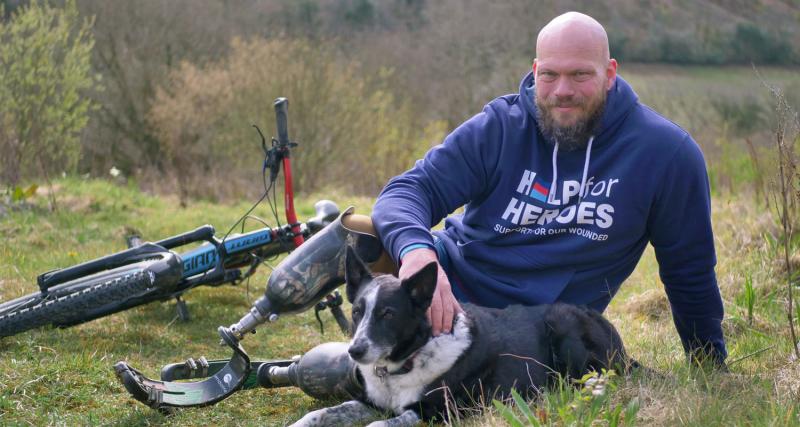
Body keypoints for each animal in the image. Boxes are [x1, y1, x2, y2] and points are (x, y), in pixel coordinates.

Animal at [290, 249, 632, 426]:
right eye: (358, 311)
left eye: (388, 313)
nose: (355, 352)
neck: (409, 359)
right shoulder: (374, 402)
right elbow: (318, 414)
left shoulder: (435, 411)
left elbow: (379, 425)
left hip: (563, 323)